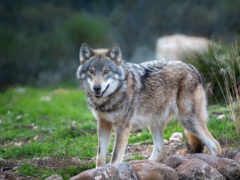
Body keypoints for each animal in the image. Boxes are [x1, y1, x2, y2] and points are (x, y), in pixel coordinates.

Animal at [76, 43, 221, 167]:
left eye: (106, 71)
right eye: (91, 71)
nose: (97, 88)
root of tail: (192, 67)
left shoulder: (123, 127)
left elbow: (115, 158)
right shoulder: (103, 124)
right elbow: (100, 157)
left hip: (188, 121)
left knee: (215, 145)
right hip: (155, 123)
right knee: (160, 150)